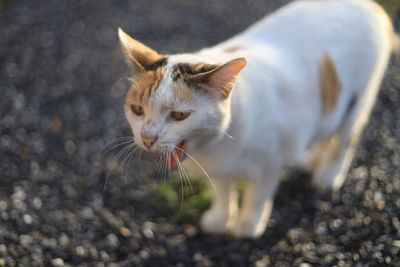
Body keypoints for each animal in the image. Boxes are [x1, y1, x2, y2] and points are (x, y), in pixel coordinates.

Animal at [115, 0, 396, 239]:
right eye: (138, 110)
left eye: (180, 115)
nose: (147, 138)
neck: (213, 148)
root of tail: (370, 6)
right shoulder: (218, 171)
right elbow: (222, 191)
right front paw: (220, 219)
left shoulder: (271, 164)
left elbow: (257, 197)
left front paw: (248, 226)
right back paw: (312, 159)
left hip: (359, 100)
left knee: (345, 140)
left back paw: (328, 175)